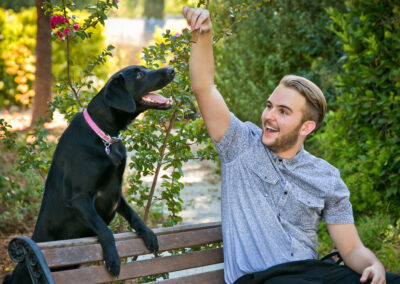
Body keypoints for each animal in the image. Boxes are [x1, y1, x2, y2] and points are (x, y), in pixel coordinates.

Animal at [3, 65, 174, 282]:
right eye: (139, 74)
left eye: (143, 69)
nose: (172, 69)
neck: (105, 136)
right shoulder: (80, 198)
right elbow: (105, 229)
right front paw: (113, 258)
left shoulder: (116, 193)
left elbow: (134, 215)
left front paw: (148, 234)